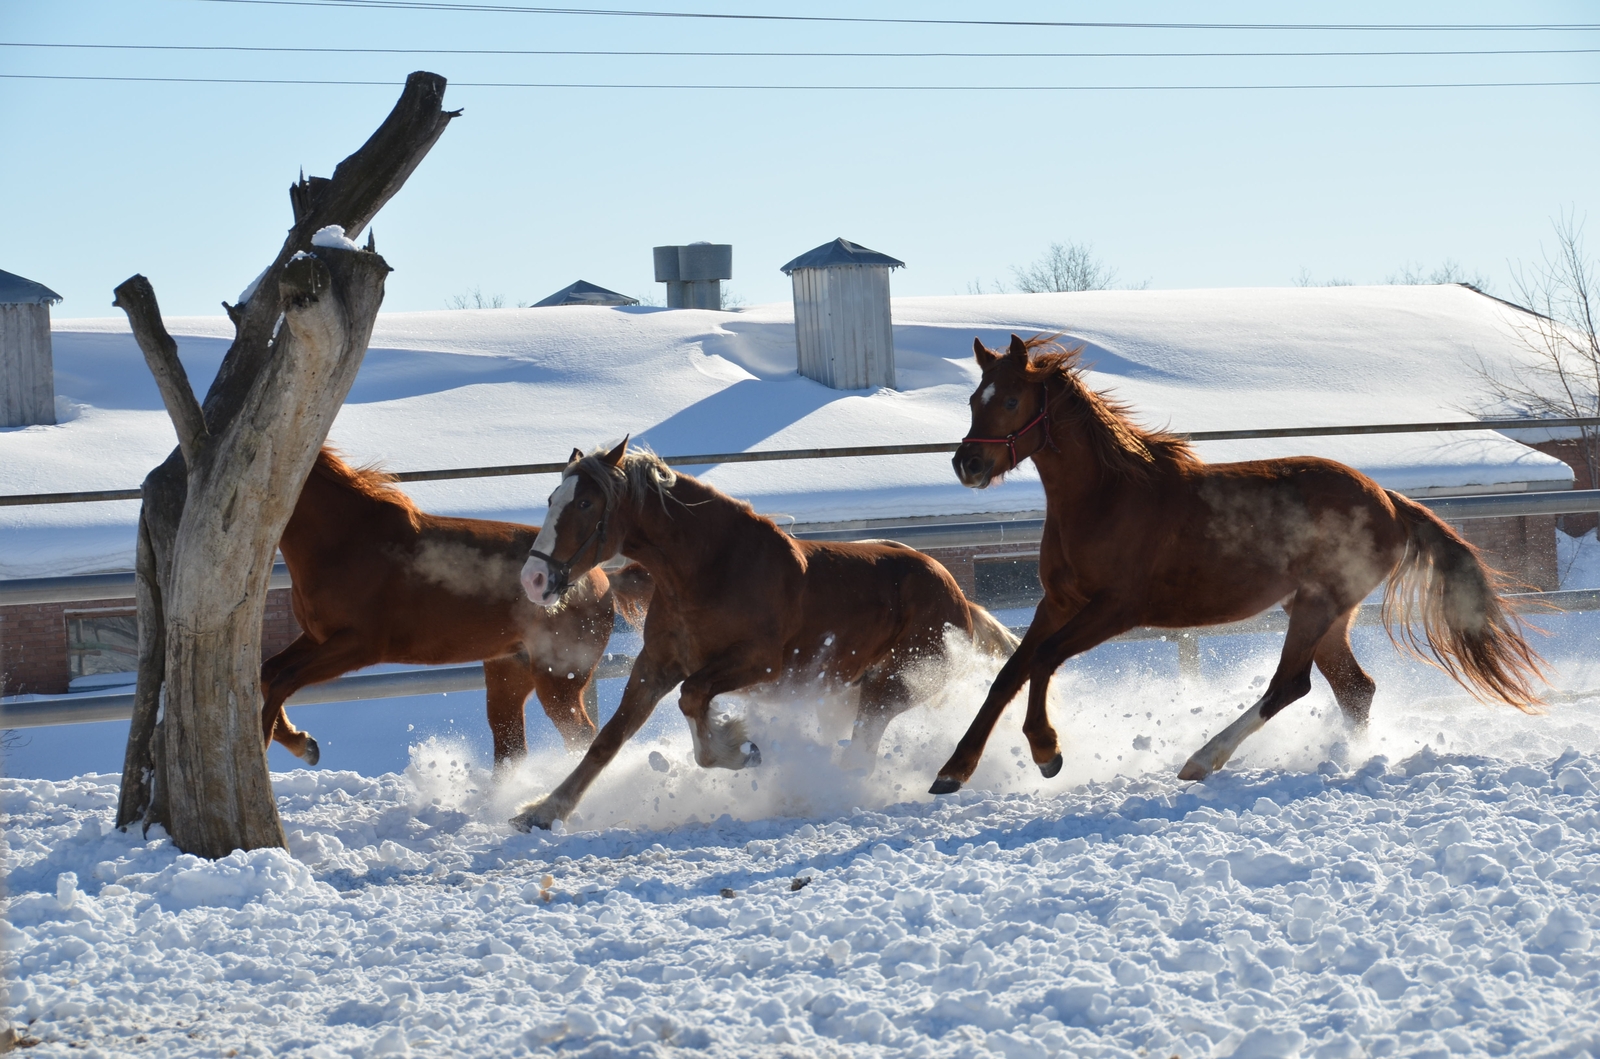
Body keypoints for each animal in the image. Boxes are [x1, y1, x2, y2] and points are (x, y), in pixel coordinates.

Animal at [259, 451, 646, 767]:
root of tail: (601, 578)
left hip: (557, 679)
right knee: (511, 746)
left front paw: (270, 748)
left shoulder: (359, 646)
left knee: (580, 734)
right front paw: (304, 744)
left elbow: (283, 680)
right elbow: (269, 673)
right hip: (509, 670)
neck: (344, 541)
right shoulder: (316, 637)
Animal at [505, 438, 1017, 831]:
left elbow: (693, 699)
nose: (533, 579)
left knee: (861, 754)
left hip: (893, 685)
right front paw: (542, 811)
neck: (712, 570)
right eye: (551, 500)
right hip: (845, 690)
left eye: (585, 503)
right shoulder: (655, 666)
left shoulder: (757, 664)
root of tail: (958, 599)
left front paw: (740, 747)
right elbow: (607, 740)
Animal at [934, 335, 1542, 793]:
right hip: (1322, 611)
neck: (1106, 498)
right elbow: (1009, 674)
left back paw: (1203, 759)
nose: (967, 464)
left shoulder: (1115, 609)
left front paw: (1047, 752)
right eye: (974, 399)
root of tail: (1390, 502)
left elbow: (1043, 662)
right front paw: (952, 771)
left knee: (1291, 684)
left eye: (1011, 401)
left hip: (1319, 604)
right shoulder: (1058, 602)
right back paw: (1350, 759)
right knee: (1355, 689)